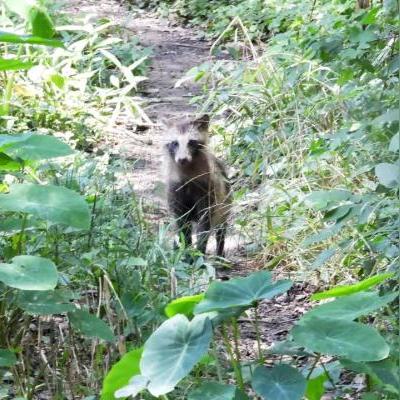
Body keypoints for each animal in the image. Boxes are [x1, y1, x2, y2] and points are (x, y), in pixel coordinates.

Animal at [163, 114, 231, 256]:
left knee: (221, 228)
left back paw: (219, 252)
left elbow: (204, 223)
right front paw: (185, 250)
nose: (182, 159)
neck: (187, 170)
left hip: (225, 200)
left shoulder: (206, 189)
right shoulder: (175, 190)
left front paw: (200, 250)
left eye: (191, 142)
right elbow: (181, 226)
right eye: (175, 143)